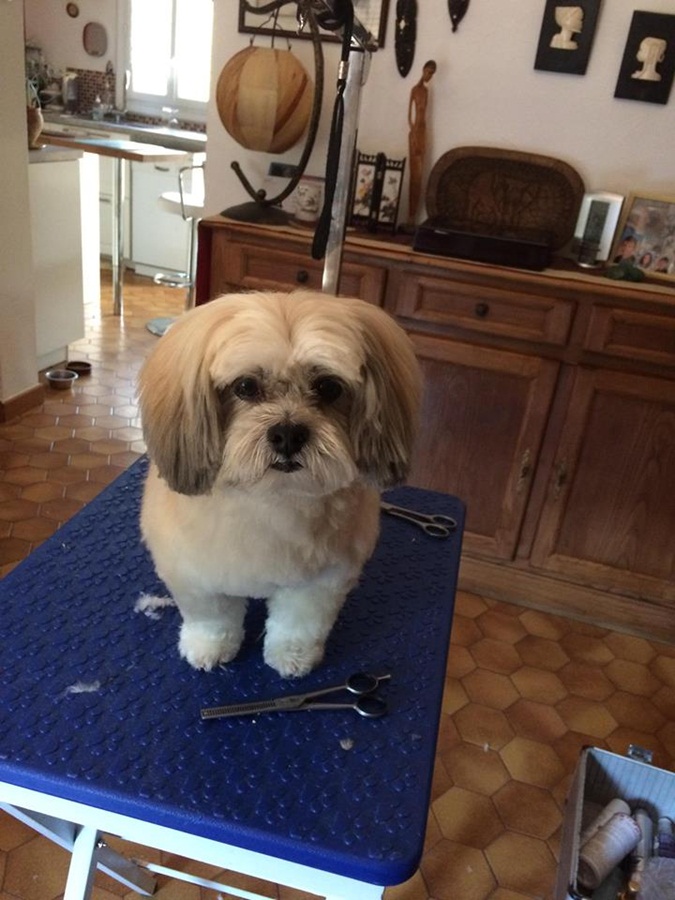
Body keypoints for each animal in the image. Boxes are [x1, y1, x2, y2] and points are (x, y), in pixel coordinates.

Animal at [138, 290, 421, 678]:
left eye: (328, 387)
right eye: (245, 386)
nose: (288, 433)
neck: (271, 498)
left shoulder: (320, 580)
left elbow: (298, 622)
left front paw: (292, 655)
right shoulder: (193, 573)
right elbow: (212, 617)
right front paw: (209, 646)